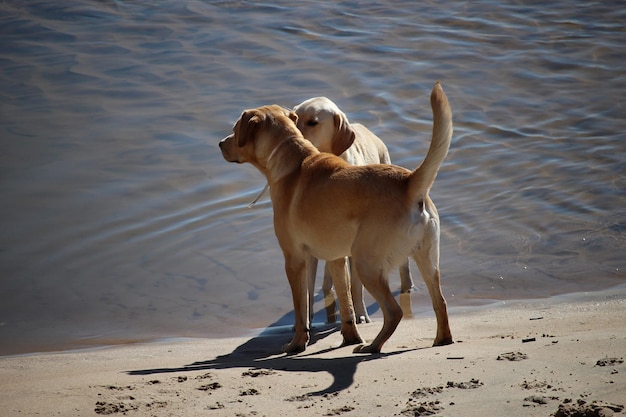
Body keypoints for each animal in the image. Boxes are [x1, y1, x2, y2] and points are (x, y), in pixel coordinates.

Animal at [292, 96, 414, 324]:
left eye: (313, 122)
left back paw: (408, 286)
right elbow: (308, 287)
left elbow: (356, 287)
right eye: (294, 117)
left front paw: (360, 314)